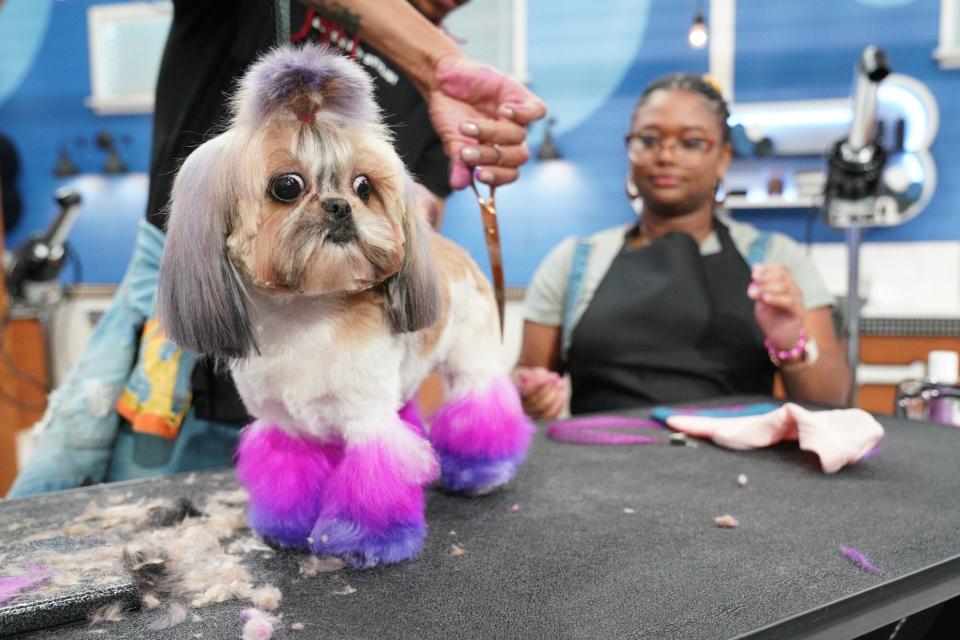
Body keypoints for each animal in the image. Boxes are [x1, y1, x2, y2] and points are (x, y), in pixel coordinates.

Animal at [157, 45, 532, 568]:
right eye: (287, 186)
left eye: (363, 187)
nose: (340, 206)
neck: (305, 316)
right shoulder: (284, 426)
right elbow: (289, 477)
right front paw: (286, 529)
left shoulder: (365, 419)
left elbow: (373, 481)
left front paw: (364, 541)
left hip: (470, 361)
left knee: (481, 407)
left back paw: (480, 473)